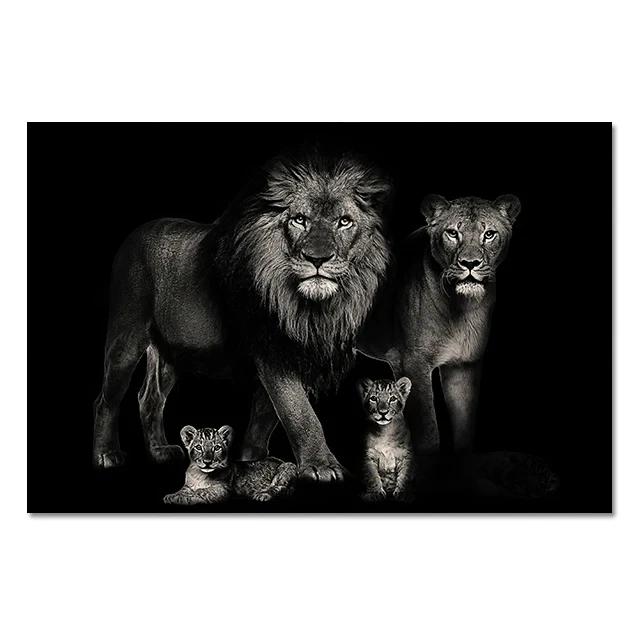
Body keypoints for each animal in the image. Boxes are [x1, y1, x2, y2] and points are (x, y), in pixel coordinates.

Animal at [93, 152, 392, 483]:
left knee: (150, 398)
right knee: (106, 400)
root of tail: (136, 232)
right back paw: (106, 454)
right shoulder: (274, 352)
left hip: (172, 354)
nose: (318, 259)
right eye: (300, 219)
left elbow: (264, 418)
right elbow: (299, 412)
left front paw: (253, 461)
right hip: (126, 337)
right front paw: (322, 465)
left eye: (344, 222)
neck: (312, 308)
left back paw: (160, 451)